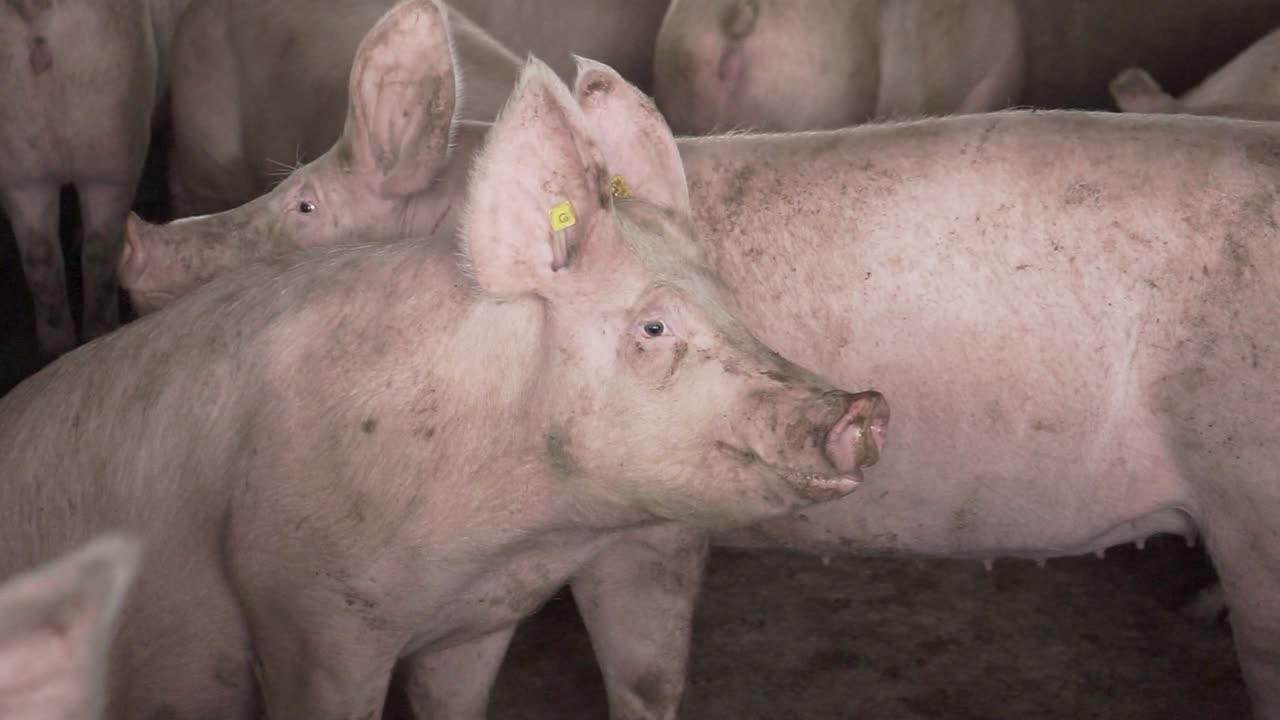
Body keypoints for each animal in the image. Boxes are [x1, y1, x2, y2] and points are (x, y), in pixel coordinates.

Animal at [0, 0, 189, 356]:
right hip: (112, 149)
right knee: (97, 252)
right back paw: (95, 333)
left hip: (32, 166)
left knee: (47, 256)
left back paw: (59, 344)